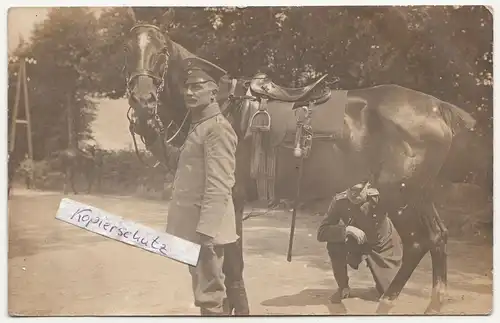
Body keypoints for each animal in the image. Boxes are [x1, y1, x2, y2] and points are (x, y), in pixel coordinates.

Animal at [122, 21, 476, 316]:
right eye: (131, 52)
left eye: (162, 52)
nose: (142, 101)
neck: (223, 109)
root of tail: (437, 107)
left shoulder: (230, 198)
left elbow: (233, 262)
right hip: (419, 195)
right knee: (438, 237)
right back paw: (433, 304)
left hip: (399, 196)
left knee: (418, 243)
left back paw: (388, 302)